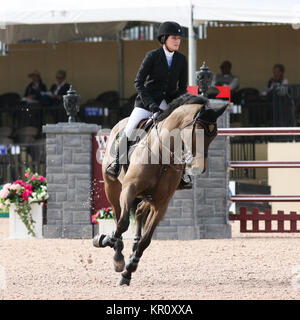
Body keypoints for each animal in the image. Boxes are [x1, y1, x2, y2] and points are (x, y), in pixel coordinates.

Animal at [92, 93, 226, 284]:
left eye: (214, 135)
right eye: (199, 131)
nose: (199, 166)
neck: (162, 154)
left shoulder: (161, 203)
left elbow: (146, 240)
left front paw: (129, 271)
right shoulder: (129, 189)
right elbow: (123, 224)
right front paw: (104, 239)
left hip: (149, 197)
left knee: (139, 211)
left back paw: (131, 247)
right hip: (112, 188)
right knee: (118, 216)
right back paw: (117, 256)